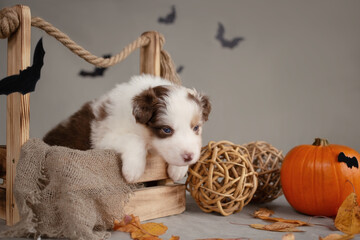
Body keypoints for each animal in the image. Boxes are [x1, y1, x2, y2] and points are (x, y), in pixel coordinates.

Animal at [43, 74, 211, 182]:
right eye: (166, 130)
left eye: (196, 128)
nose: (188, 157)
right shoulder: (103, 139)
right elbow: (134, 139)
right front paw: (133, 171)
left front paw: (178, 169)